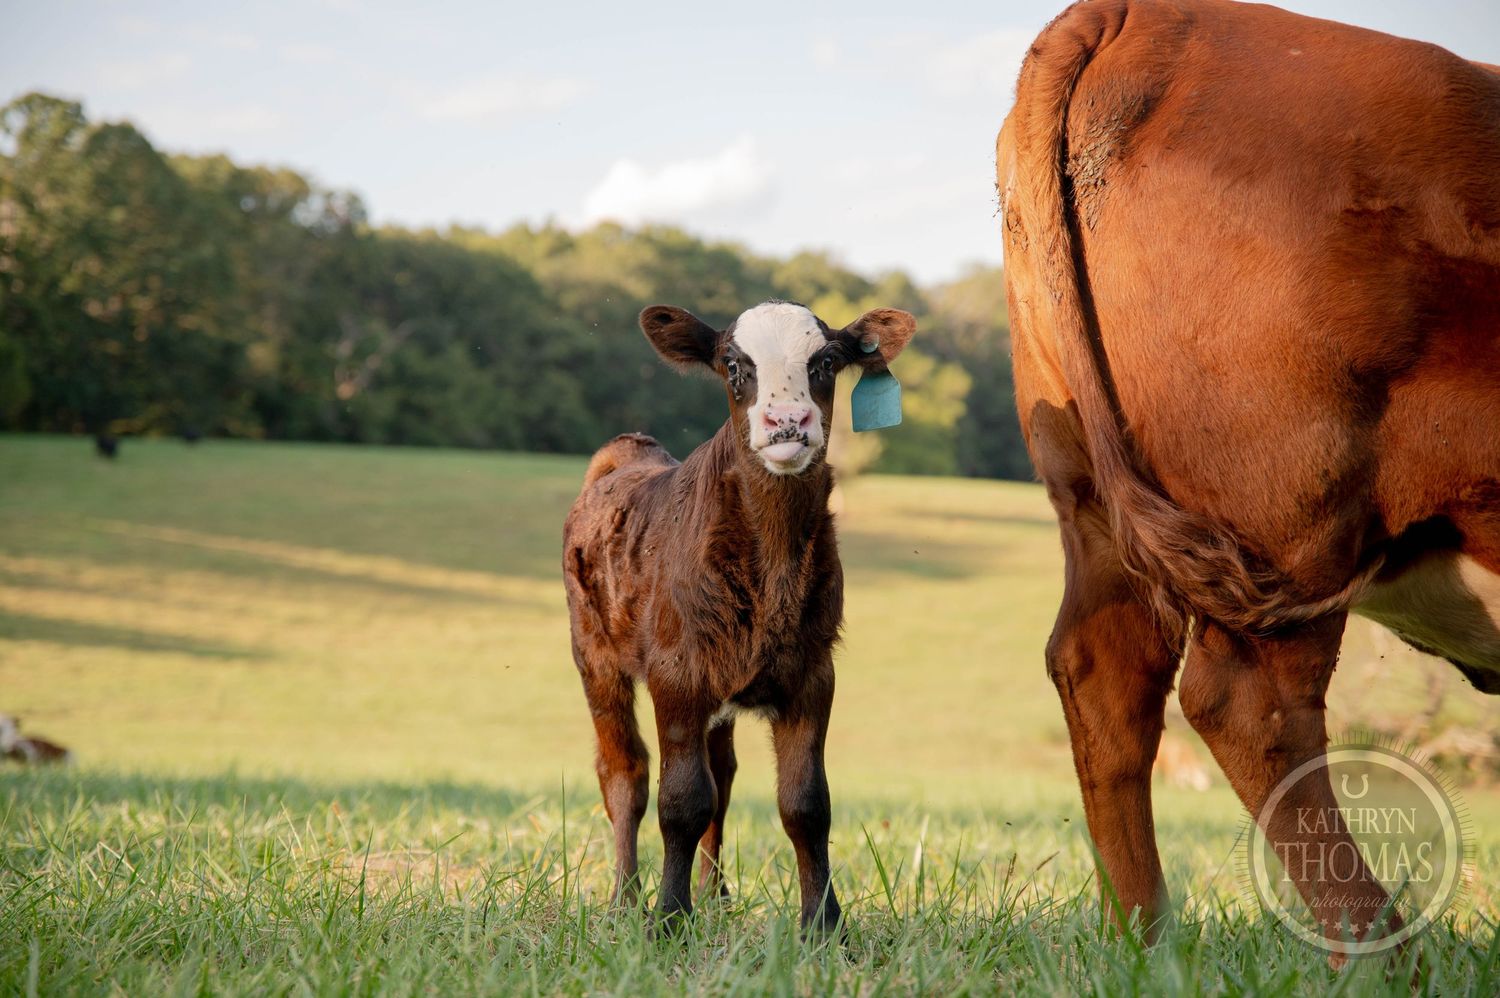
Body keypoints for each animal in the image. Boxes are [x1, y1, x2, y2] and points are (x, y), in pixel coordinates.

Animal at [563, 300, 915, 932]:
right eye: (733, 365)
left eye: (825, 362)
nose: (787, 420)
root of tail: (628, 453)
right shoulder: (676, 672)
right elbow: (680, 800)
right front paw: (668, 921)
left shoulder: (813, 673)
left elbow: (806, 805)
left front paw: (824, 926)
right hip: (595, 657)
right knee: (625, 772)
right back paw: (625, 899)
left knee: (721, 777)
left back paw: (716, 896)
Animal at [997, 0, 1499, 949]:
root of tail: (1144, 18)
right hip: (1298, 505)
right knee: (1249, 704)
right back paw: (1382, 953)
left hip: (1093, 499)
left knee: (1104, 675)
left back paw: (1147, 942)